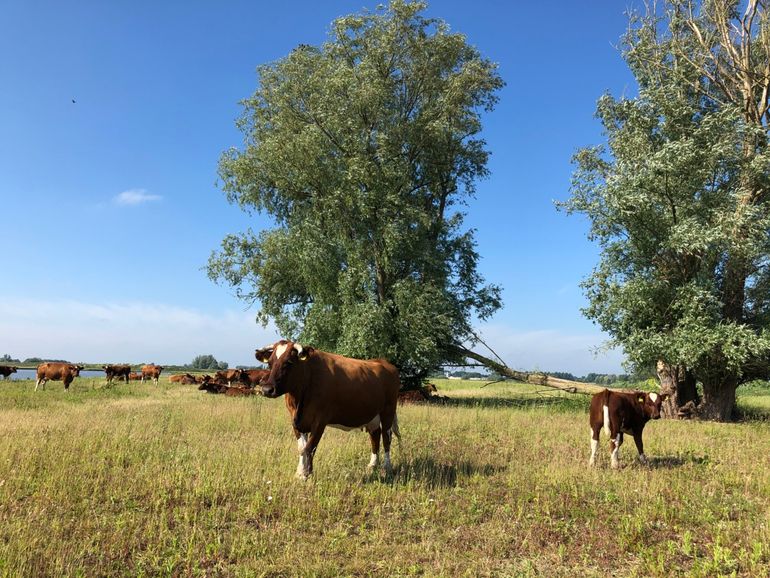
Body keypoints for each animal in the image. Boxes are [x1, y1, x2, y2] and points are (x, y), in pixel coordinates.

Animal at [256, 338, 402, 476]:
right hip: (372, 415)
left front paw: (306, 474)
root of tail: (383, 362)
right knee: (375, 435)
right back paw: (372, 465)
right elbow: (302, 448)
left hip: (388, 410)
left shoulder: (320, 420)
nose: (267, 389)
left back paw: (387, 467)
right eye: (269, 363)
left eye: (288, 363)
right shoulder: (296, 420)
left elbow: (310, 447)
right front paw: (299, 472)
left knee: (386, 437)